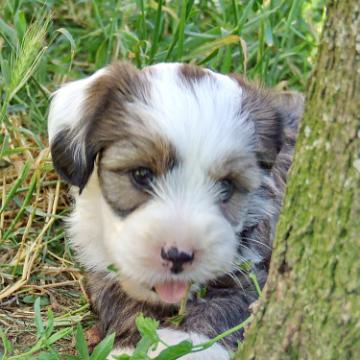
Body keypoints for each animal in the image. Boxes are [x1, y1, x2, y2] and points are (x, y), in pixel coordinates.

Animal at [47, 63, 300, 358]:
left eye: (227, 186)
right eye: (141, 174)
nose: (178, 256)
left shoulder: (255, 271)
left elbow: (221, 307)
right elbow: (121, 300)